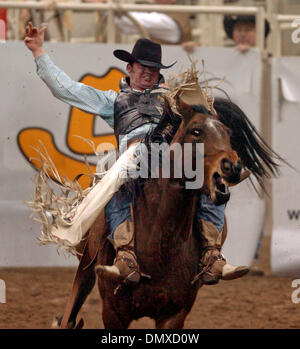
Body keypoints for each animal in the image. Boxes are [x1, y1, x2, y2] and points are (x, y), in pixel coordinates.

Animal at [57, 94, 282, 328]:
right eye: (195, 131)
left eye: (228, 133)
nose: (233, 166)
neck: (159, 245)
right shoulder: (113, 313)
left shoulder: (174, 313)